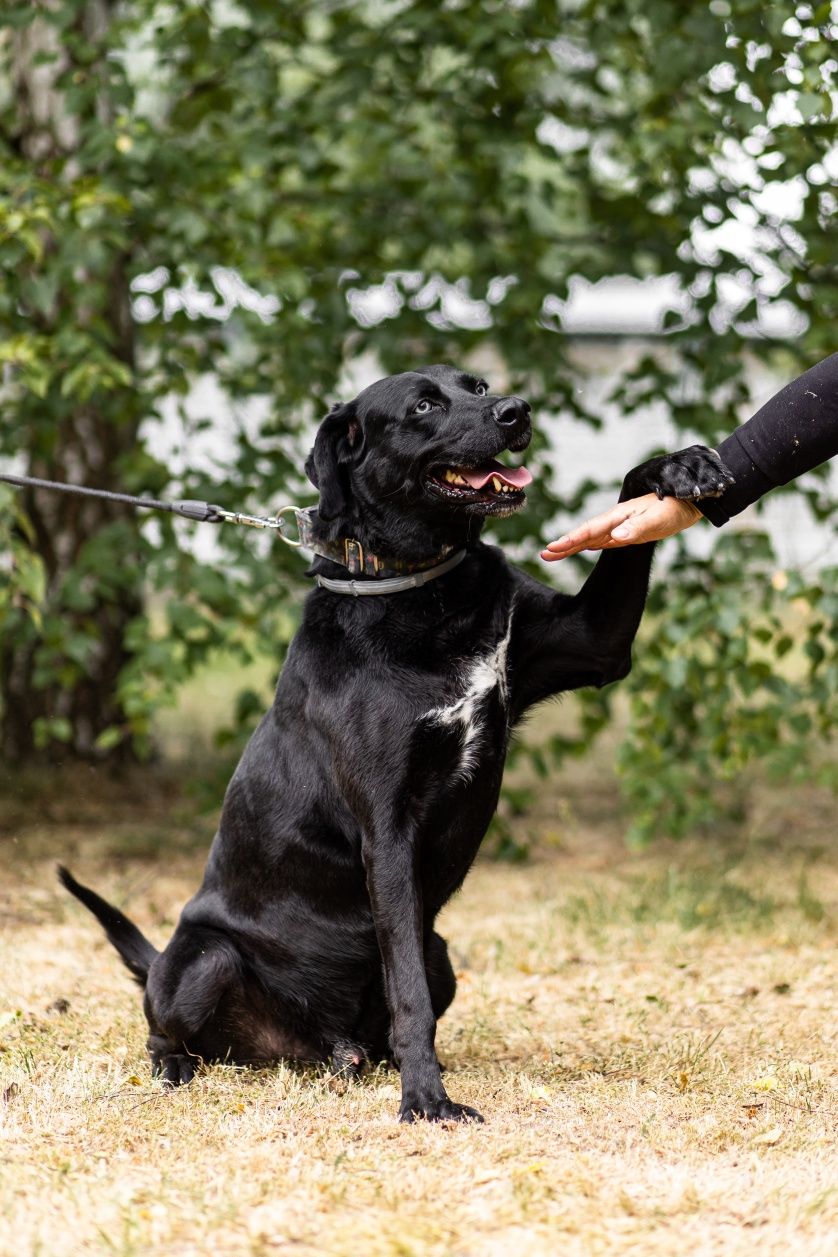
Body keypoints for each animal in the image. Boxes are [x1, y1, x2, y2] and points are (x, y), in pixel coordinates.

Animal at [59, 364, 728, 1121]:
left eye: (478, 385)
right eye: (423, 406)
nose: (517, 410)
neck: (420, 587)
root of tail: (317, 1040)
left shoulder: (594, 643)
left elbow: (629, 508)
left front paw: (681, 467)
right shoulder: (388, 826)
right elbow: (407, 993)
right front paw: (426, 1099)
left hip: (441, 952)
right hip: (203, 960)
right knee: (163, 1025)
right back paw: (177, 1067)